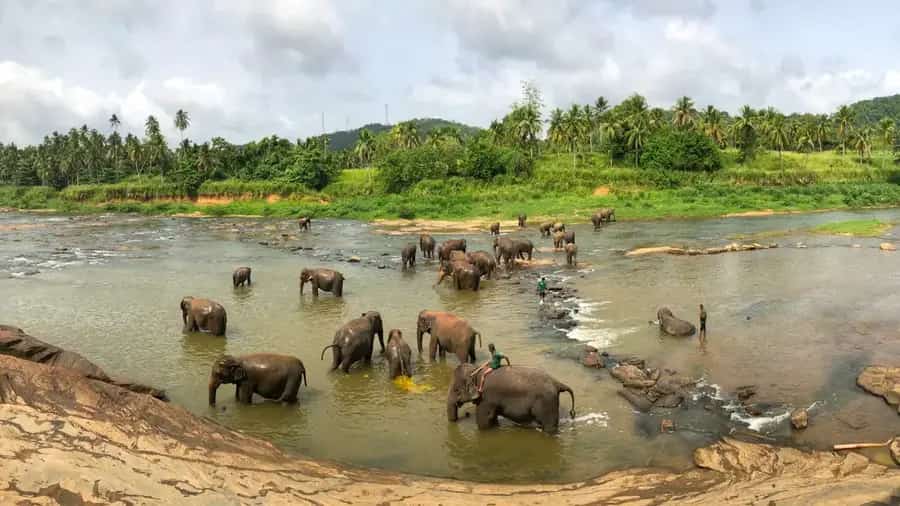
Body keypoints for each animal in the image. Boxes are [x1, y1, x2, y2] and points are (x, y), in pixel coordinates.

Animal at [446, 363, 576, 434]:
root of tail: (557, 383)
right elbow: (492, 418)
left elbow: (483, 420)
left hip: (547, 403)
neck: (477, 371)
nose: (466, 414)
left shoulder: (486, 398)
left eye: (456, 390)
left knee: (549, 426)